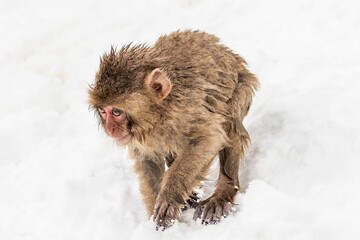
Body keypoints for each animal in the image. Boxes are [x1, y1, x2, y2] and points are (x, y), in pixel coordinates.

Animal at [89, 30, 260, 231]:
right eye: (103, 111)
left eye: (116, 112)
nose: (110, 129)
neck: (160, 114)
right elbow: (147, 159)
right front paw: (155, 211)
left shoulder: (187, 109)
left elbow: (210, 137)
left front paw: (169, 197)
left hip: (243, 87)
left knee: (230, 121)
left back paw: (223, 193)